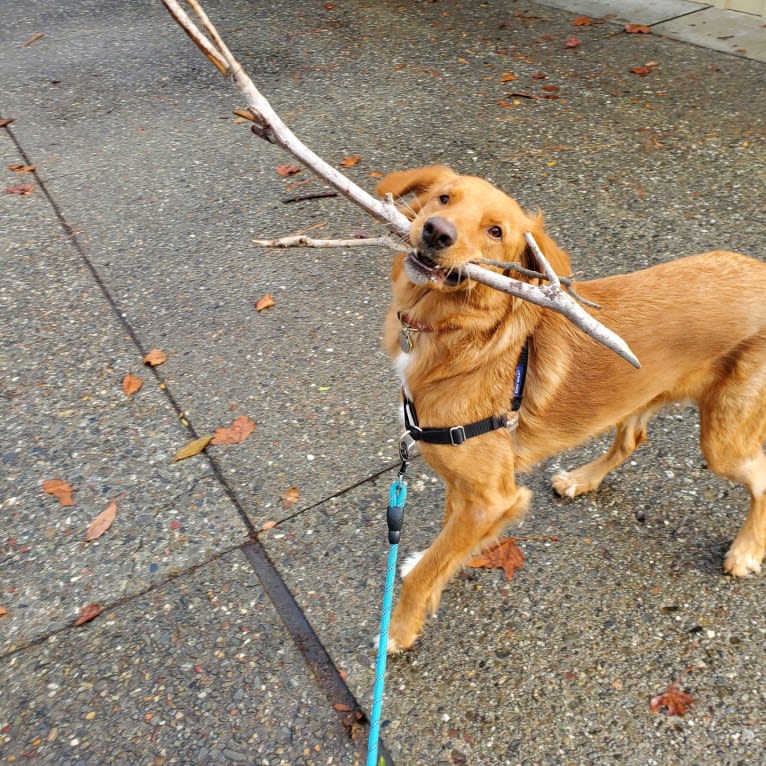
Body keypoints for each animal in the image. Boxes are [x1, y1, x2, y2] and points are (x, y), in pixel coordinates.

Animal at [376, 164, 766, 656]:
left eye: (495, 232)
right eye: (444, 198)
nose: (435, 231)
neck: (461, 338)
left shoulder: (493, 498)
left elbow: (432, 568)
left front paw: (398, 629)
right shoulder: (466, 486)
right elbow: (444, 547)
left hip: (723, 440)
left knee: (761, 477)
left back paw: (747, 549)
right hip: (641, 394)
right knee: (631, 440)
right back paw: (582, 479)